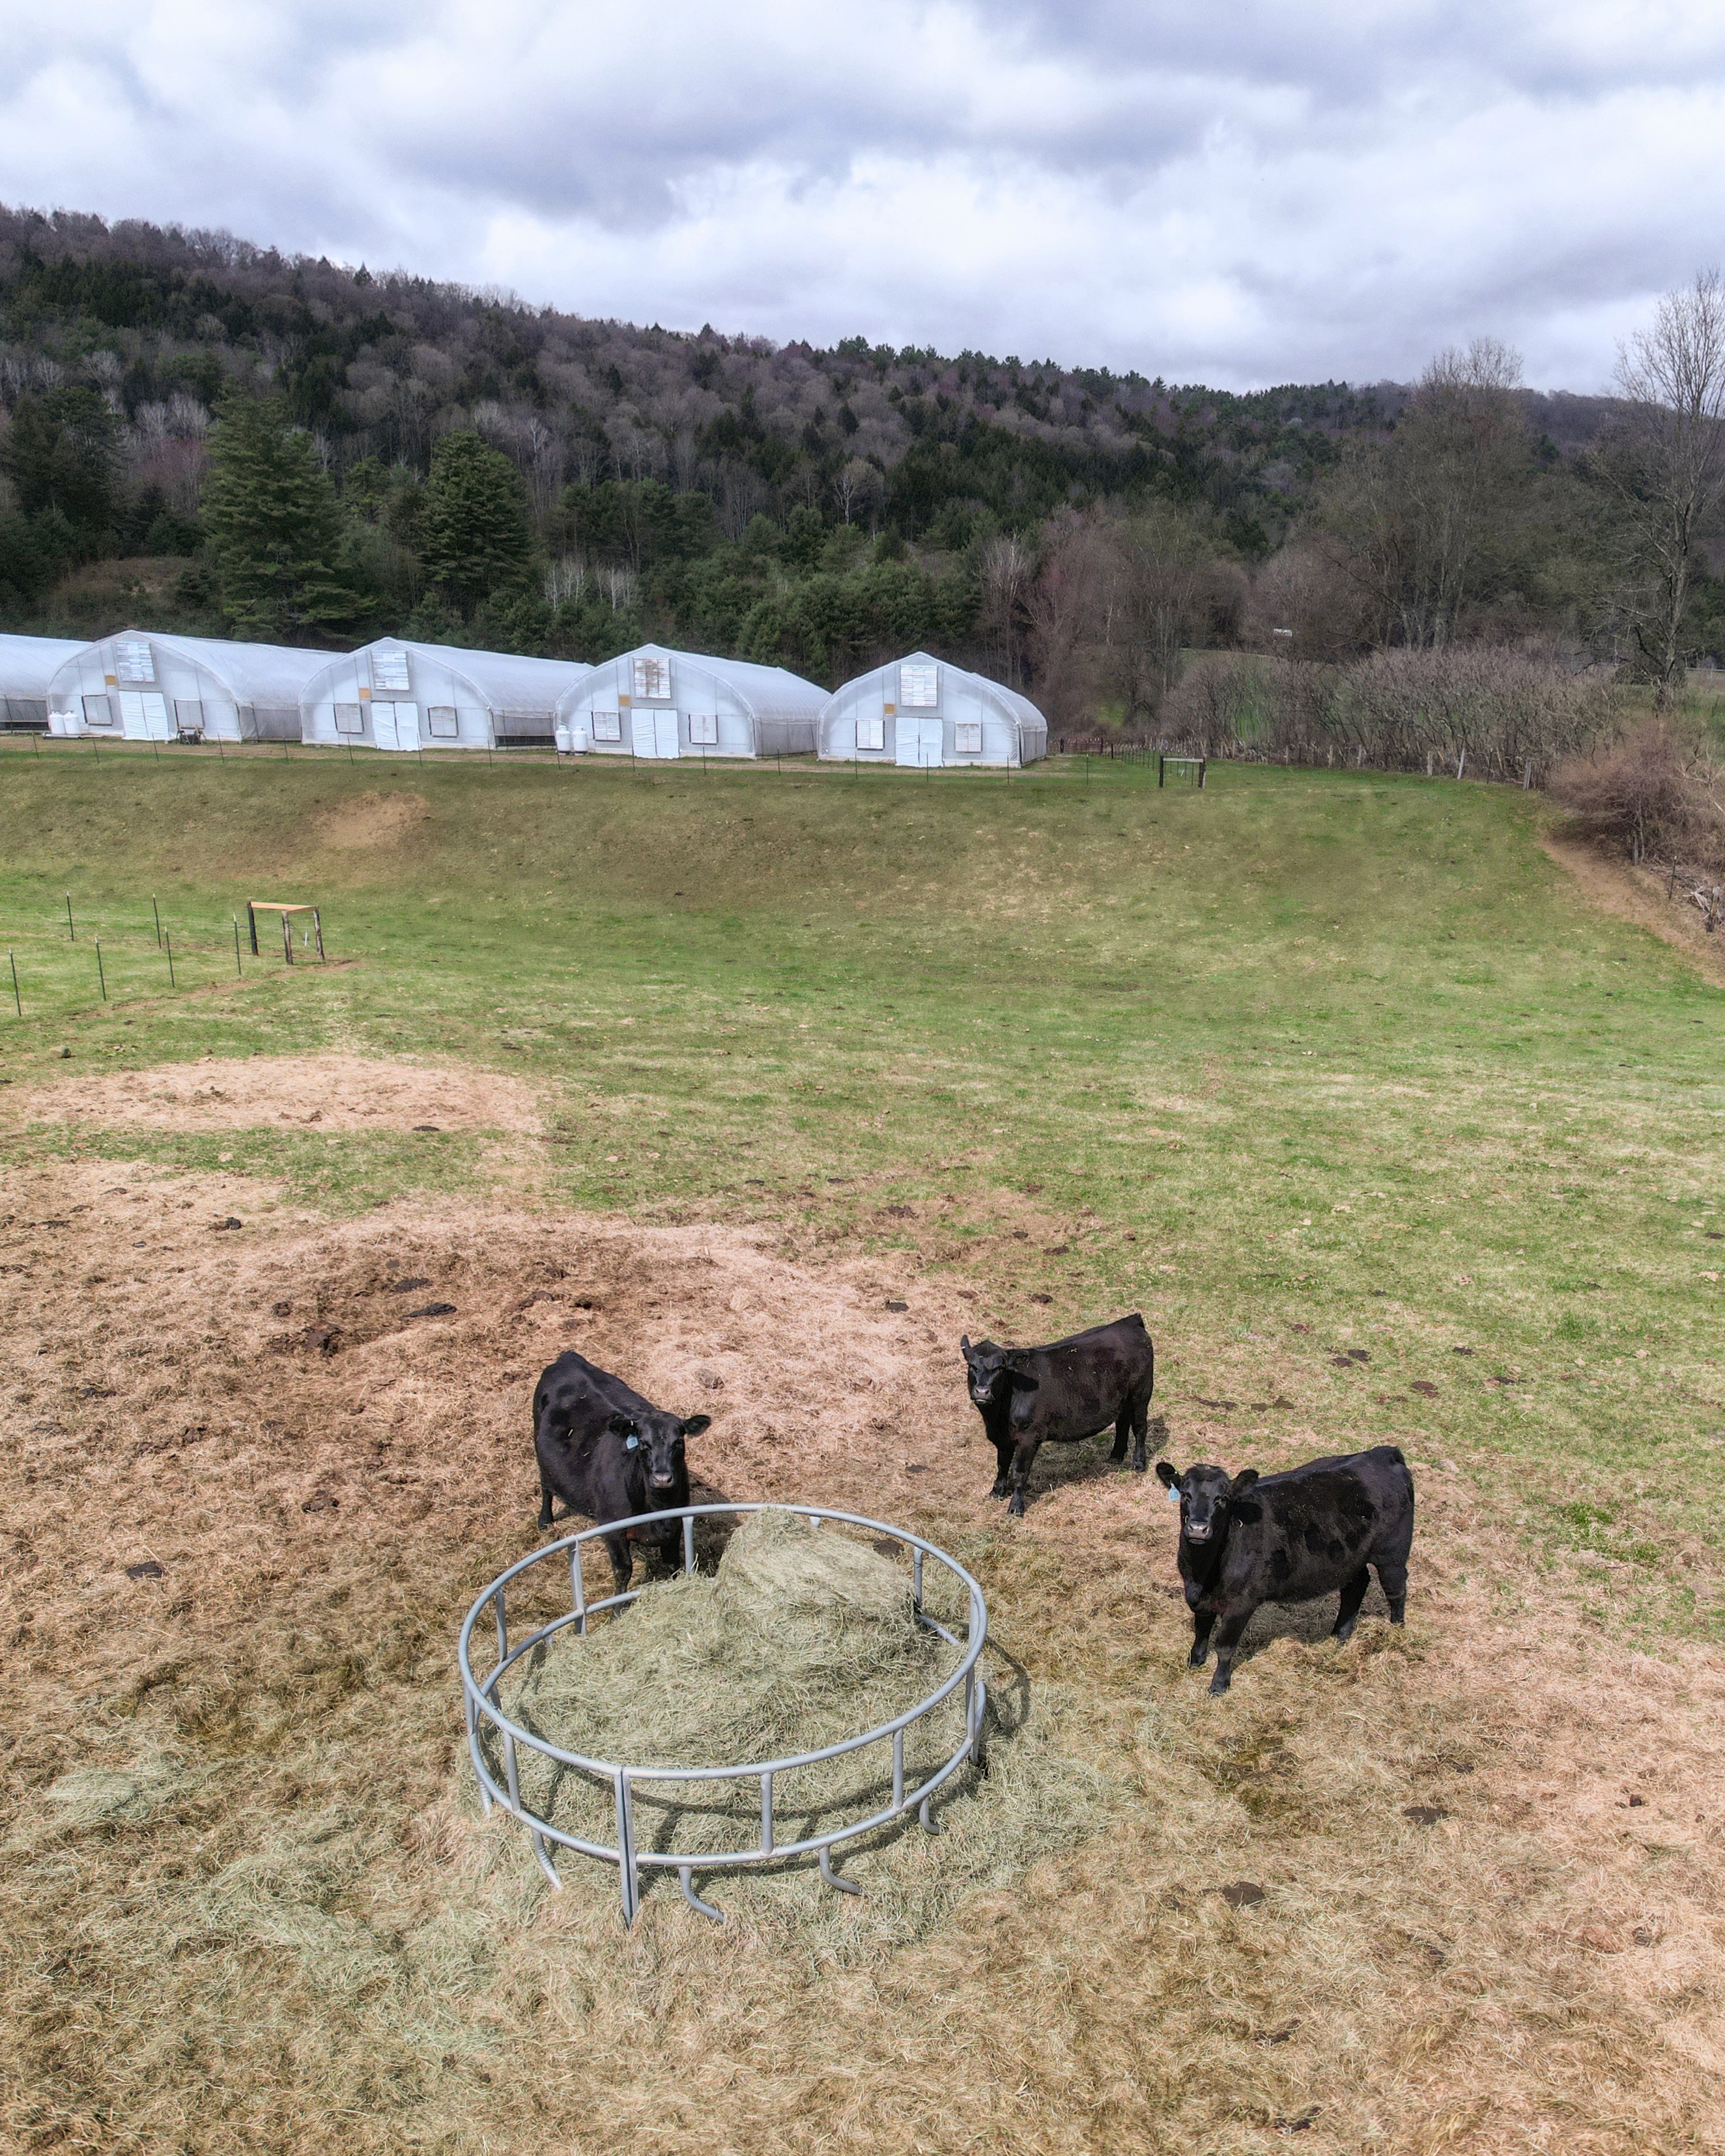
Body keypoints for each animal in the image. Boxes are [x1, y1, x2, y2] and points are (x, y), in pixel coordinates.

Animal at [532, 1350, 712, 1595]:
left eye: (678, 1443)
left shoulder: (674, 1526)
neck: (656, 1506)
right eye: (643, 1443)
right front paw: (620, 1604)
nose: (662, 1478)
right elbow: (623, 1570)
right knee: (546, 1486)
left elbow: (672, 1564)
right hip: (540, 1450)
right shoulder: (613, 1530)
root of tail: (568, 1358)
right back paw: (545, 1520)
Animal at [960, 1314, 1156, 1515]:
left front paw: (1016, 1507)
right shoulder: (1002, 1438)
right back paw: (1116, 1456)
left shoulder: (1029, 1437)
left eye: (1000, 1368)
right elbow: (1002, 1464)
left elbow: (1019, 1472)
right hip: (1122, 1399)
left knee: (1140, 1428)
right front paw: (997, 1492)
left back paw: (1139, 1464)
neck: (997, 1417)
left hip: (1141, 1395)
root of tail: (1129, 1322)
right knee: (1122, 1423)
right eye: (971, 1366)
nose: (982, 1391)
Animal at [1155, 1444, 1414, 1695]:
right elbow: (1201, 1630)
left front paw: (1219, 1685)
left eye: (1223, 1498)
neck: (1203, 1572)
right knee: (1356, 1586)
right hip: (1349, 1558)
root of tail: (1382, 1453)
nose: (1198, 1529)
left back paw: (1396, 1633)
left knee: (1396, 1589)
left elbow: (1225, 1646)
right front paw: (1195, 1661)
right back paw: (1340, 1635)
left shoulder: (1242, 1602)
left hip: (1392, 1554)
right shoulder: (1197, 1594)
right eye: (1185, 1495)